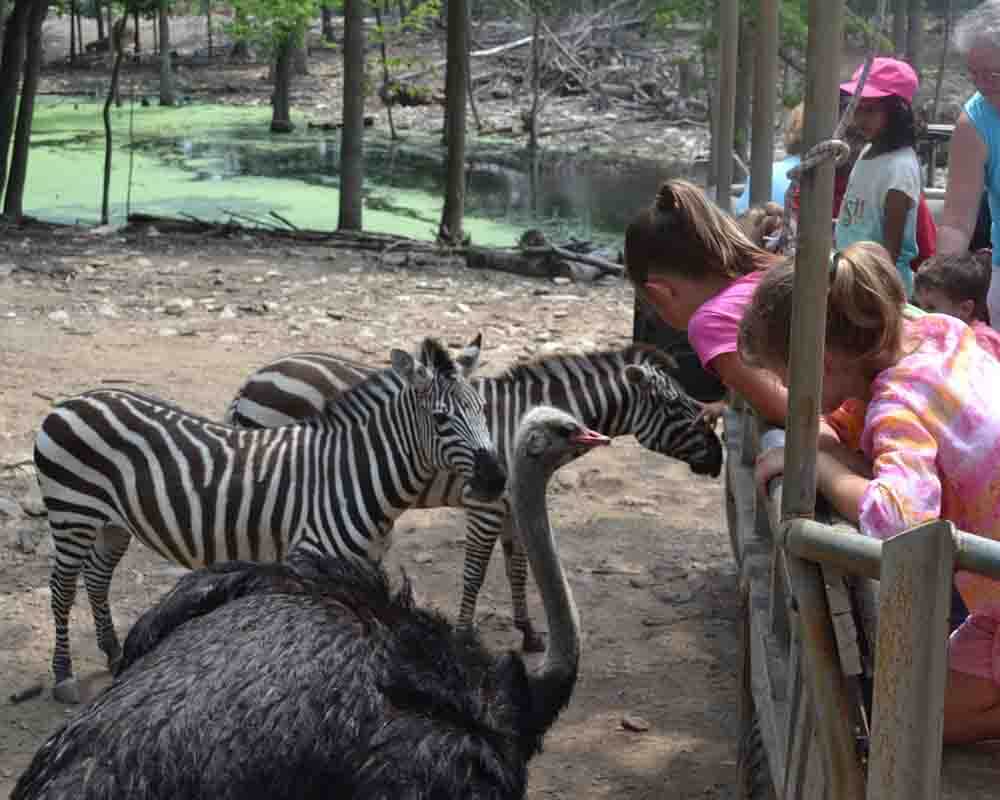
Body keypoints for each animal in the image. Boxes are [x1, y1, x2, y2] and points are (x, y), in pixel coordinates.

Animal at [34, 336, 504, 700]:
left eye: (483, 408)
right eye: (441, 418)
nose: (497, 479)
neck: (354, 473)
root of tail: (72, 402)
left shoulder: (364, 562)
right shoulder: (309, 557)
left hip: (113, 523)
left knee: (97, 577)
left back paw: (113, 652)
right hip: (71, 513)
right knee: (62, 588)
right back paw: (64, 676)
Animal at [227, 342, 728, 648]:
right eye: (676, 405)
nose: (719, 457)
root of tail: (256, 376)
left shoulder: (511, 505)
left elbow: (518, 569)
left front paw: (528, 631)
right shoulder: (486, 505)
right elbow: (475, 573)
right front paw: (466, 634)